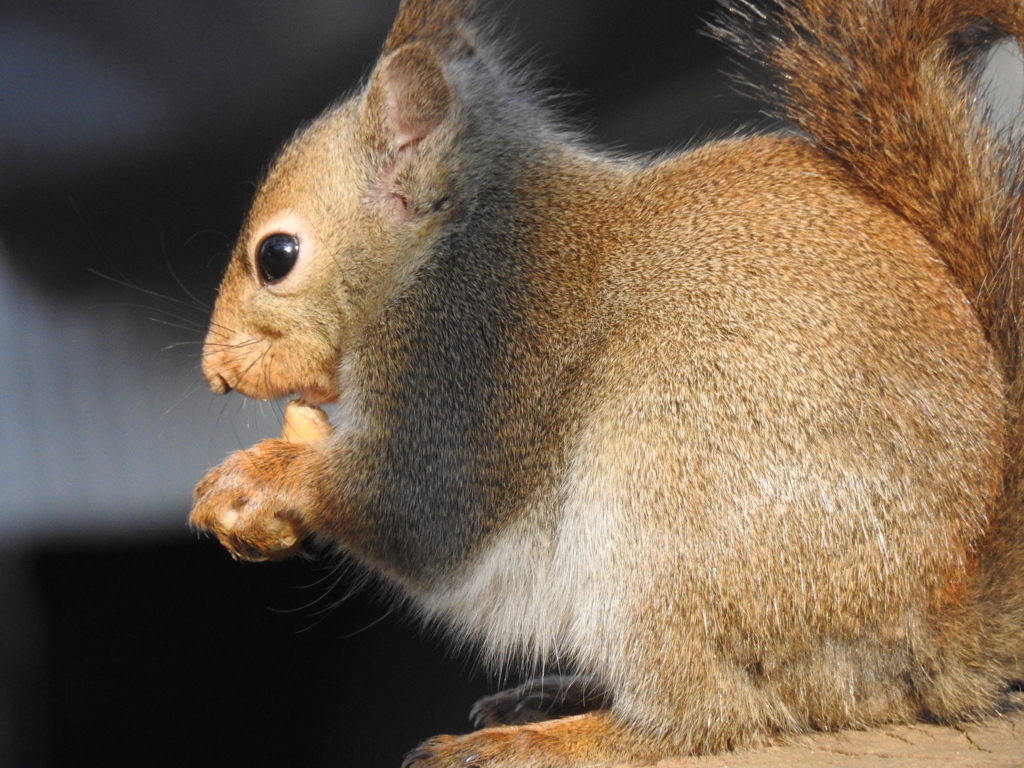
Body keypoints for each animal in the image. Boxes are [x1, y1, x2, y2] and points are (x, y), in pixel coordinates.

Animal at [188, 0, 1024, 765]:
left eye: (277, 257)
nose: (215, 374)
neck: (449, 246)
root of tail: (927, 634)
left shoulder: (468, 361)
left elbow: (416, 507)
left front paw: (261, 477)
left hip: (665, 516)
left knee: (708, 714)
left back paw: (546, 740)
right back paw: (552, 697)